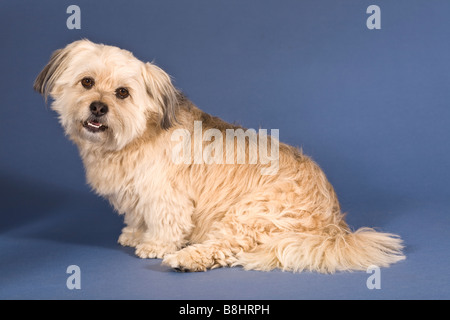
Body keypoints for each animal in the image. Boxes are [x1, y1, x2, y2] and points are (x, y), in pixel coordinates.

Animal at [33, 38, 402, 272]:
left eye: (123, 93)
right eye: (86, 82)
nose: (98, 107)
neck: (137, 136)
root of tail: (335, 227)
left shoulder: (166, 196)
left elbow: (165, 223)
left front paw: (154, 245)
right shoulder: (137, 195)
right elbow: (138, 217)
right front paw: (135, 233)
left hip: (249, 214)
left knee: (228, 247)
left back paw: (185, 260)